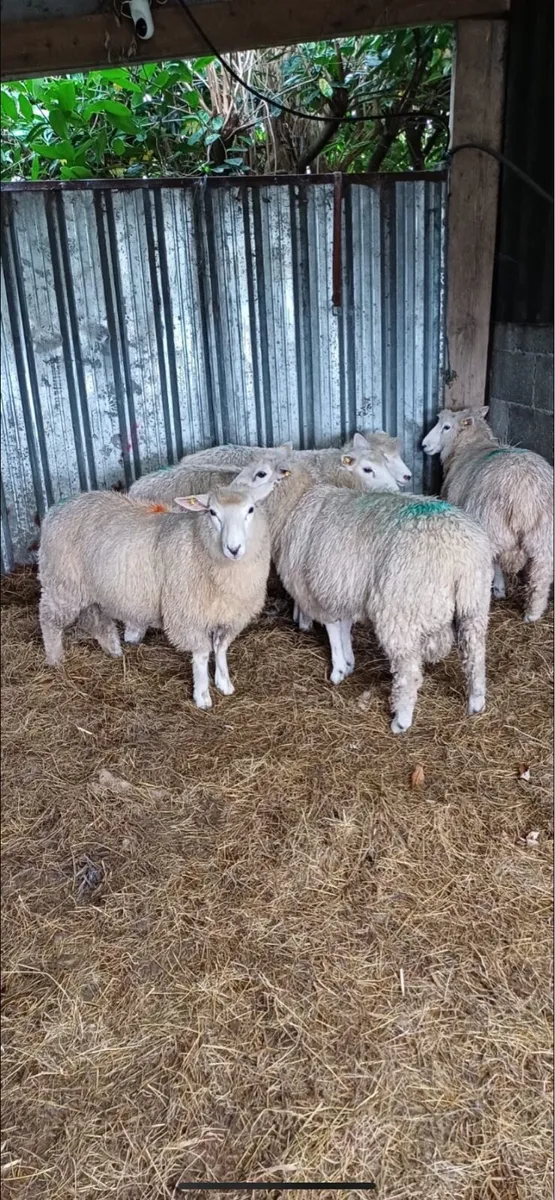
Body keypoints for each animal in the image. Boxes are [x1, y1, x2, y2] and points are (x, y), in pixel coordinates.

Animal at [38, 473, 283, 709]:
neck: (198, 543)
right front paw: (202, 696)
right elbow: (202, 655)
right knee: (48, 618)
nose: (234, 548)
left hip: (92, 589)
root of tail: (59, 507)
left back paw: (113, 649)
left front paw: (224, 683)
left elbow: (221, 648)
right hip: (62, 583)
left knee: (96, 618)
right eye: (213, 512)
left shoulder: (232, 617)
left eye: (250, 509)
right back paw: (55, 659)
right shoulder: (187, 616)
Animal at [256, 462, 493, 733]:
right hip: (474, 602)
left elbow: (333, 629)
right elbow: (344, 627)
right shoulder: (344, 588)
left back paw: (401, 720)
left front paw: (338, 670)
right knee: (475, 655)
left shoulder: (321, 590)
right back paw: (476, 702)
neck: (297, 502)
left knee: (409, 672)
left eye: (260, 474)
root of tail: (459, 553)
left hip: (401, 612)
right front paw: (349, 661)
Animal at [422, 406, 554, 622]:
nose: (424, 445)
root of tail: (526, 495)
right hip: (544, 536)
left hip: (492, 526)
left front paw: (499, 590)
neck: (471, 445)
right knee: (541, 576)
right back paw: (532, 615)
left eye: (446, 427)